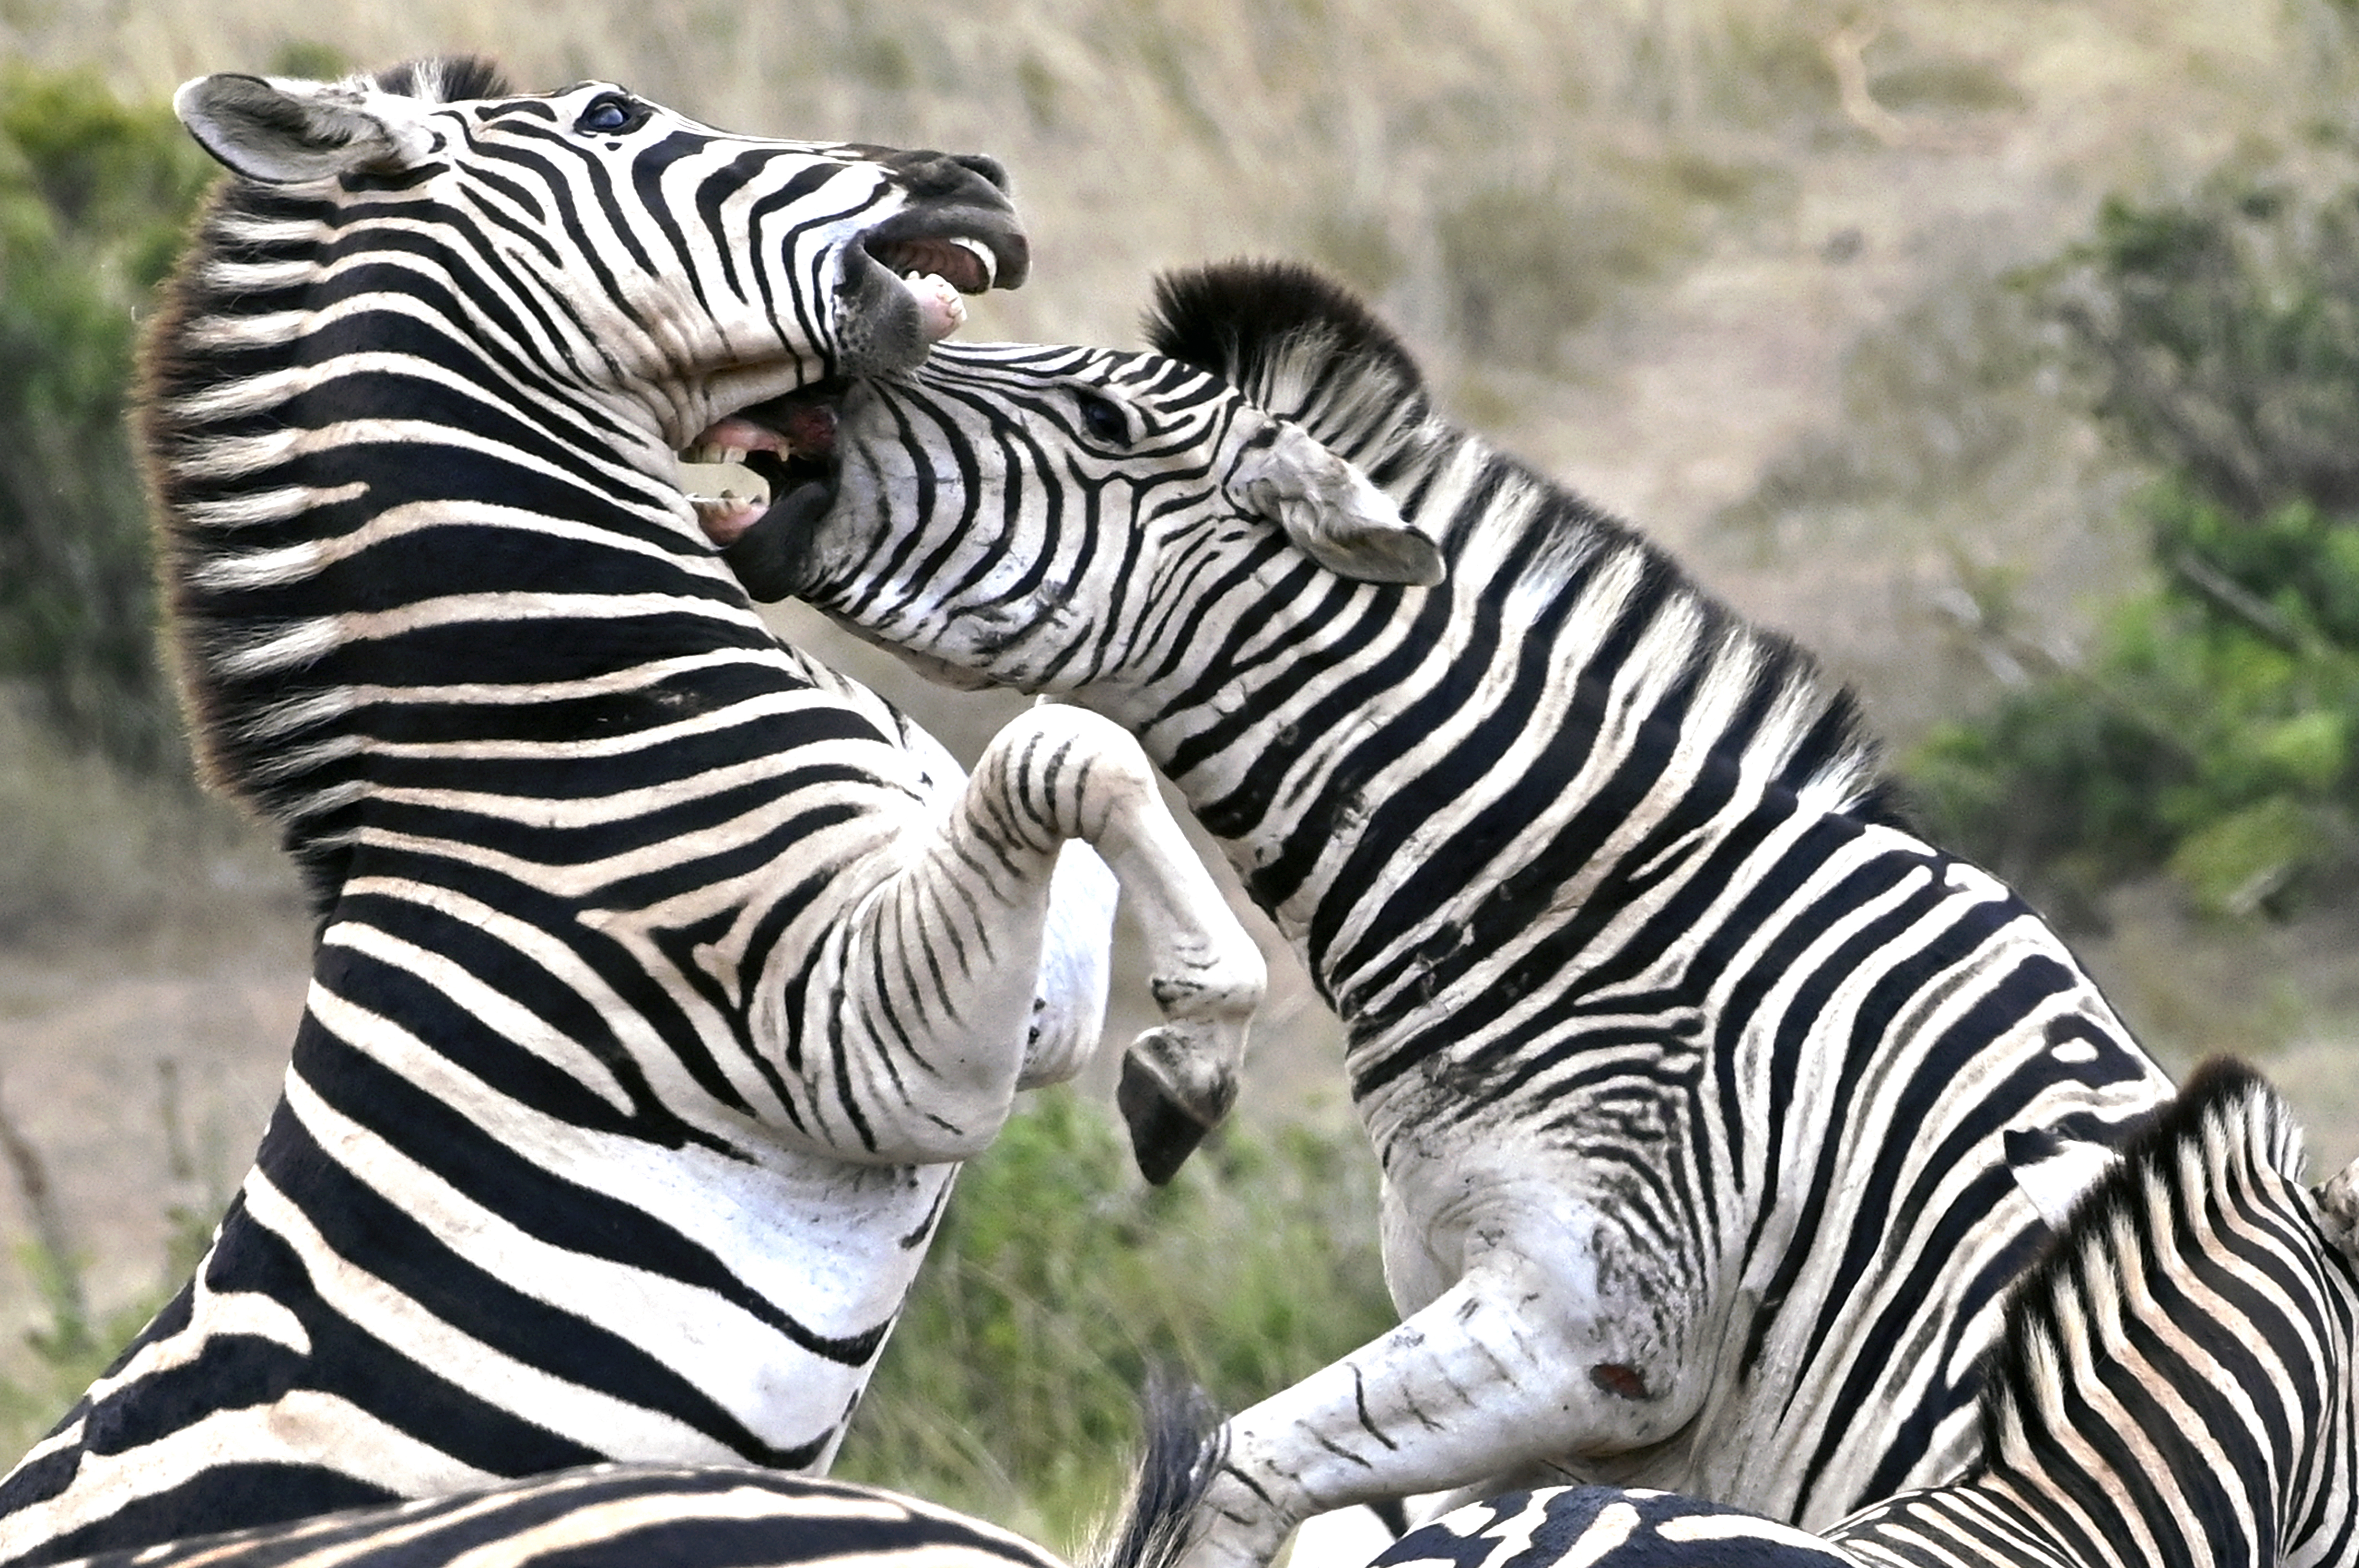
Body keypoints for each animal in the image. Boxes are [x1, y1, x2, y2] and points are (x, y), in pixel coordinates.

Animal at [0, 58, 1275, 1564]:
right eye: (611, 118)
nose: (978, 178)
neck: (571, 712)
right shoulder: (862, 1040)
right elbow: (1064, 752)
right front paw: (1199, 1041)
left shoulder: (1009, 996)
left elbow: (1053, 754)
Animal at [714, 257, 2177, 1565]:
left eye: (1103, 421)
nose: (810, 393)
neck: (1590, 902)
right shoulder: (1507, 1350)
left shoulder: (1598, 1331)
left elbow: (1234, 1473)